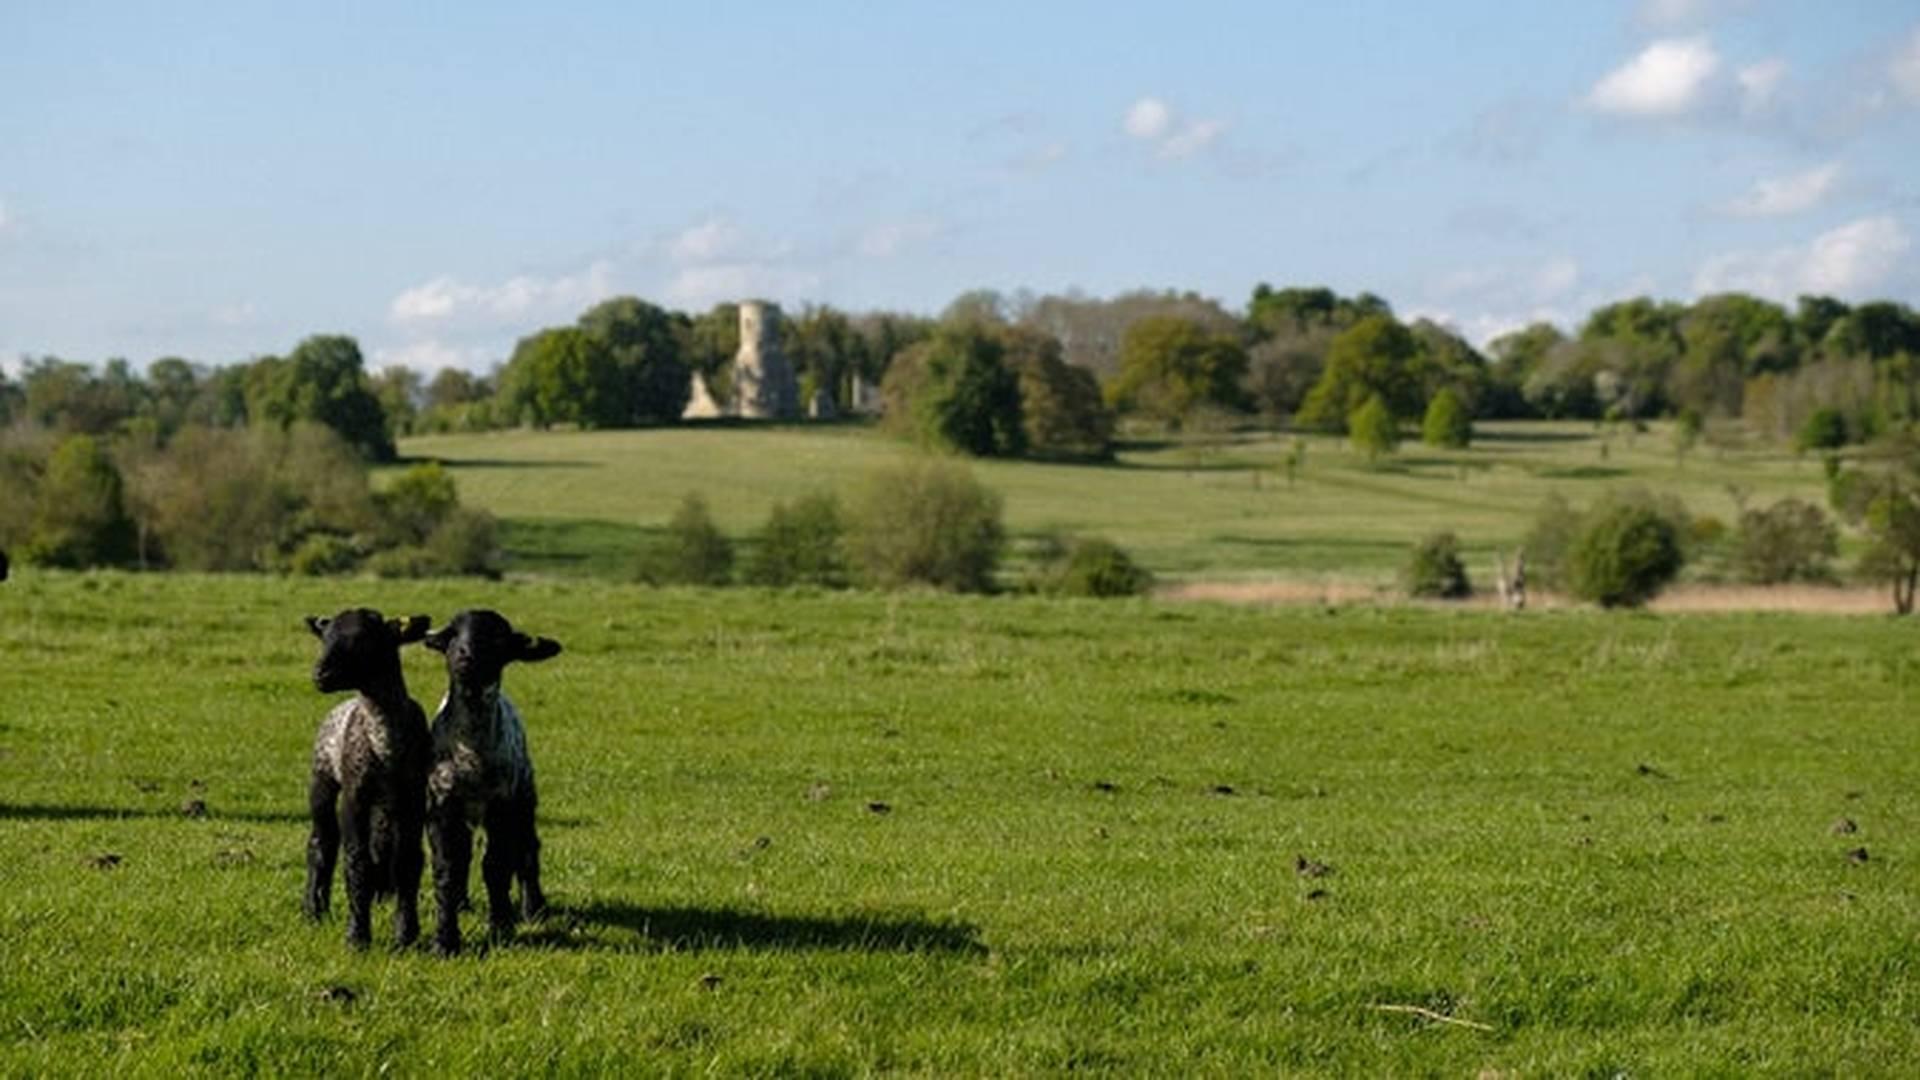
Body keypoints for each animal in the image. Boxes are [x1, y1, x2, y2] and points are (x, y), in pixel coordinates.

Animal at [301, 611, 430, 945]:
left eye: (364, 640)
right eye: (325, 637)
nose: (320, 674)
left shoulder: (414, 797)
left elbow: (408, 861)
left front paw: (406, 936)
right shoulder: (353, 796)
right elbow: (356, 861)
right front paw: (357, 936)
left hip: (384, 804)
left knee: (381, 846)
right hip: (321, 777)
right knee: (322, 842)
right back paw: (314, 910)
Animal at [422, 607, 560, 949]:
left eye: (498, 637)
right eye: (453, 634)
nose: (466, 654)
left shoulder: (502, 805)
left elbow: (496, 867)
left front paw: (501, 926)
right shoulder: (441, 805)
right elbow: (447, 867)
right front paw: (445, 939)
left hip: (524, 796)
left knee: (527, 850)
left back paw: (533, 908)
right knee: (466, 855)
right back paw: (462, 904)